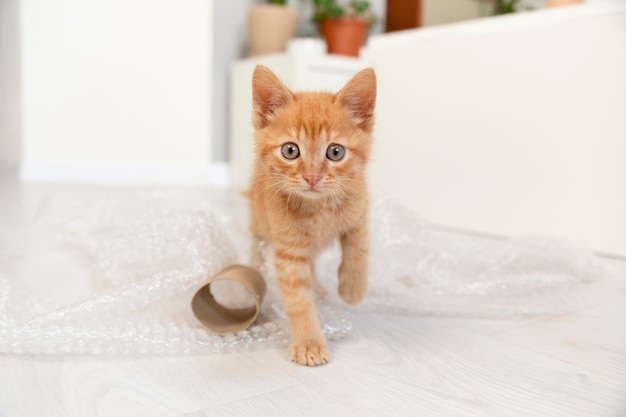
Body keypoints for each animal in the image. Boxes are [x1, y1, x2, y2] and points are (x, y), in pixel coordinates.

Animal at [247, 65, 376, 364]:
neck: (319, 208)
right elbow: (297, 299)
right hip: (259, 224)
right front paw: (309, 343)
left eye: (335, 152)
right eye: (290, 150)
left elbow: (359, 247)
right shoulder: (288, 250)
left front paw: (352, 289)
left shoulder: (360, 208)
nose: (312, 177)